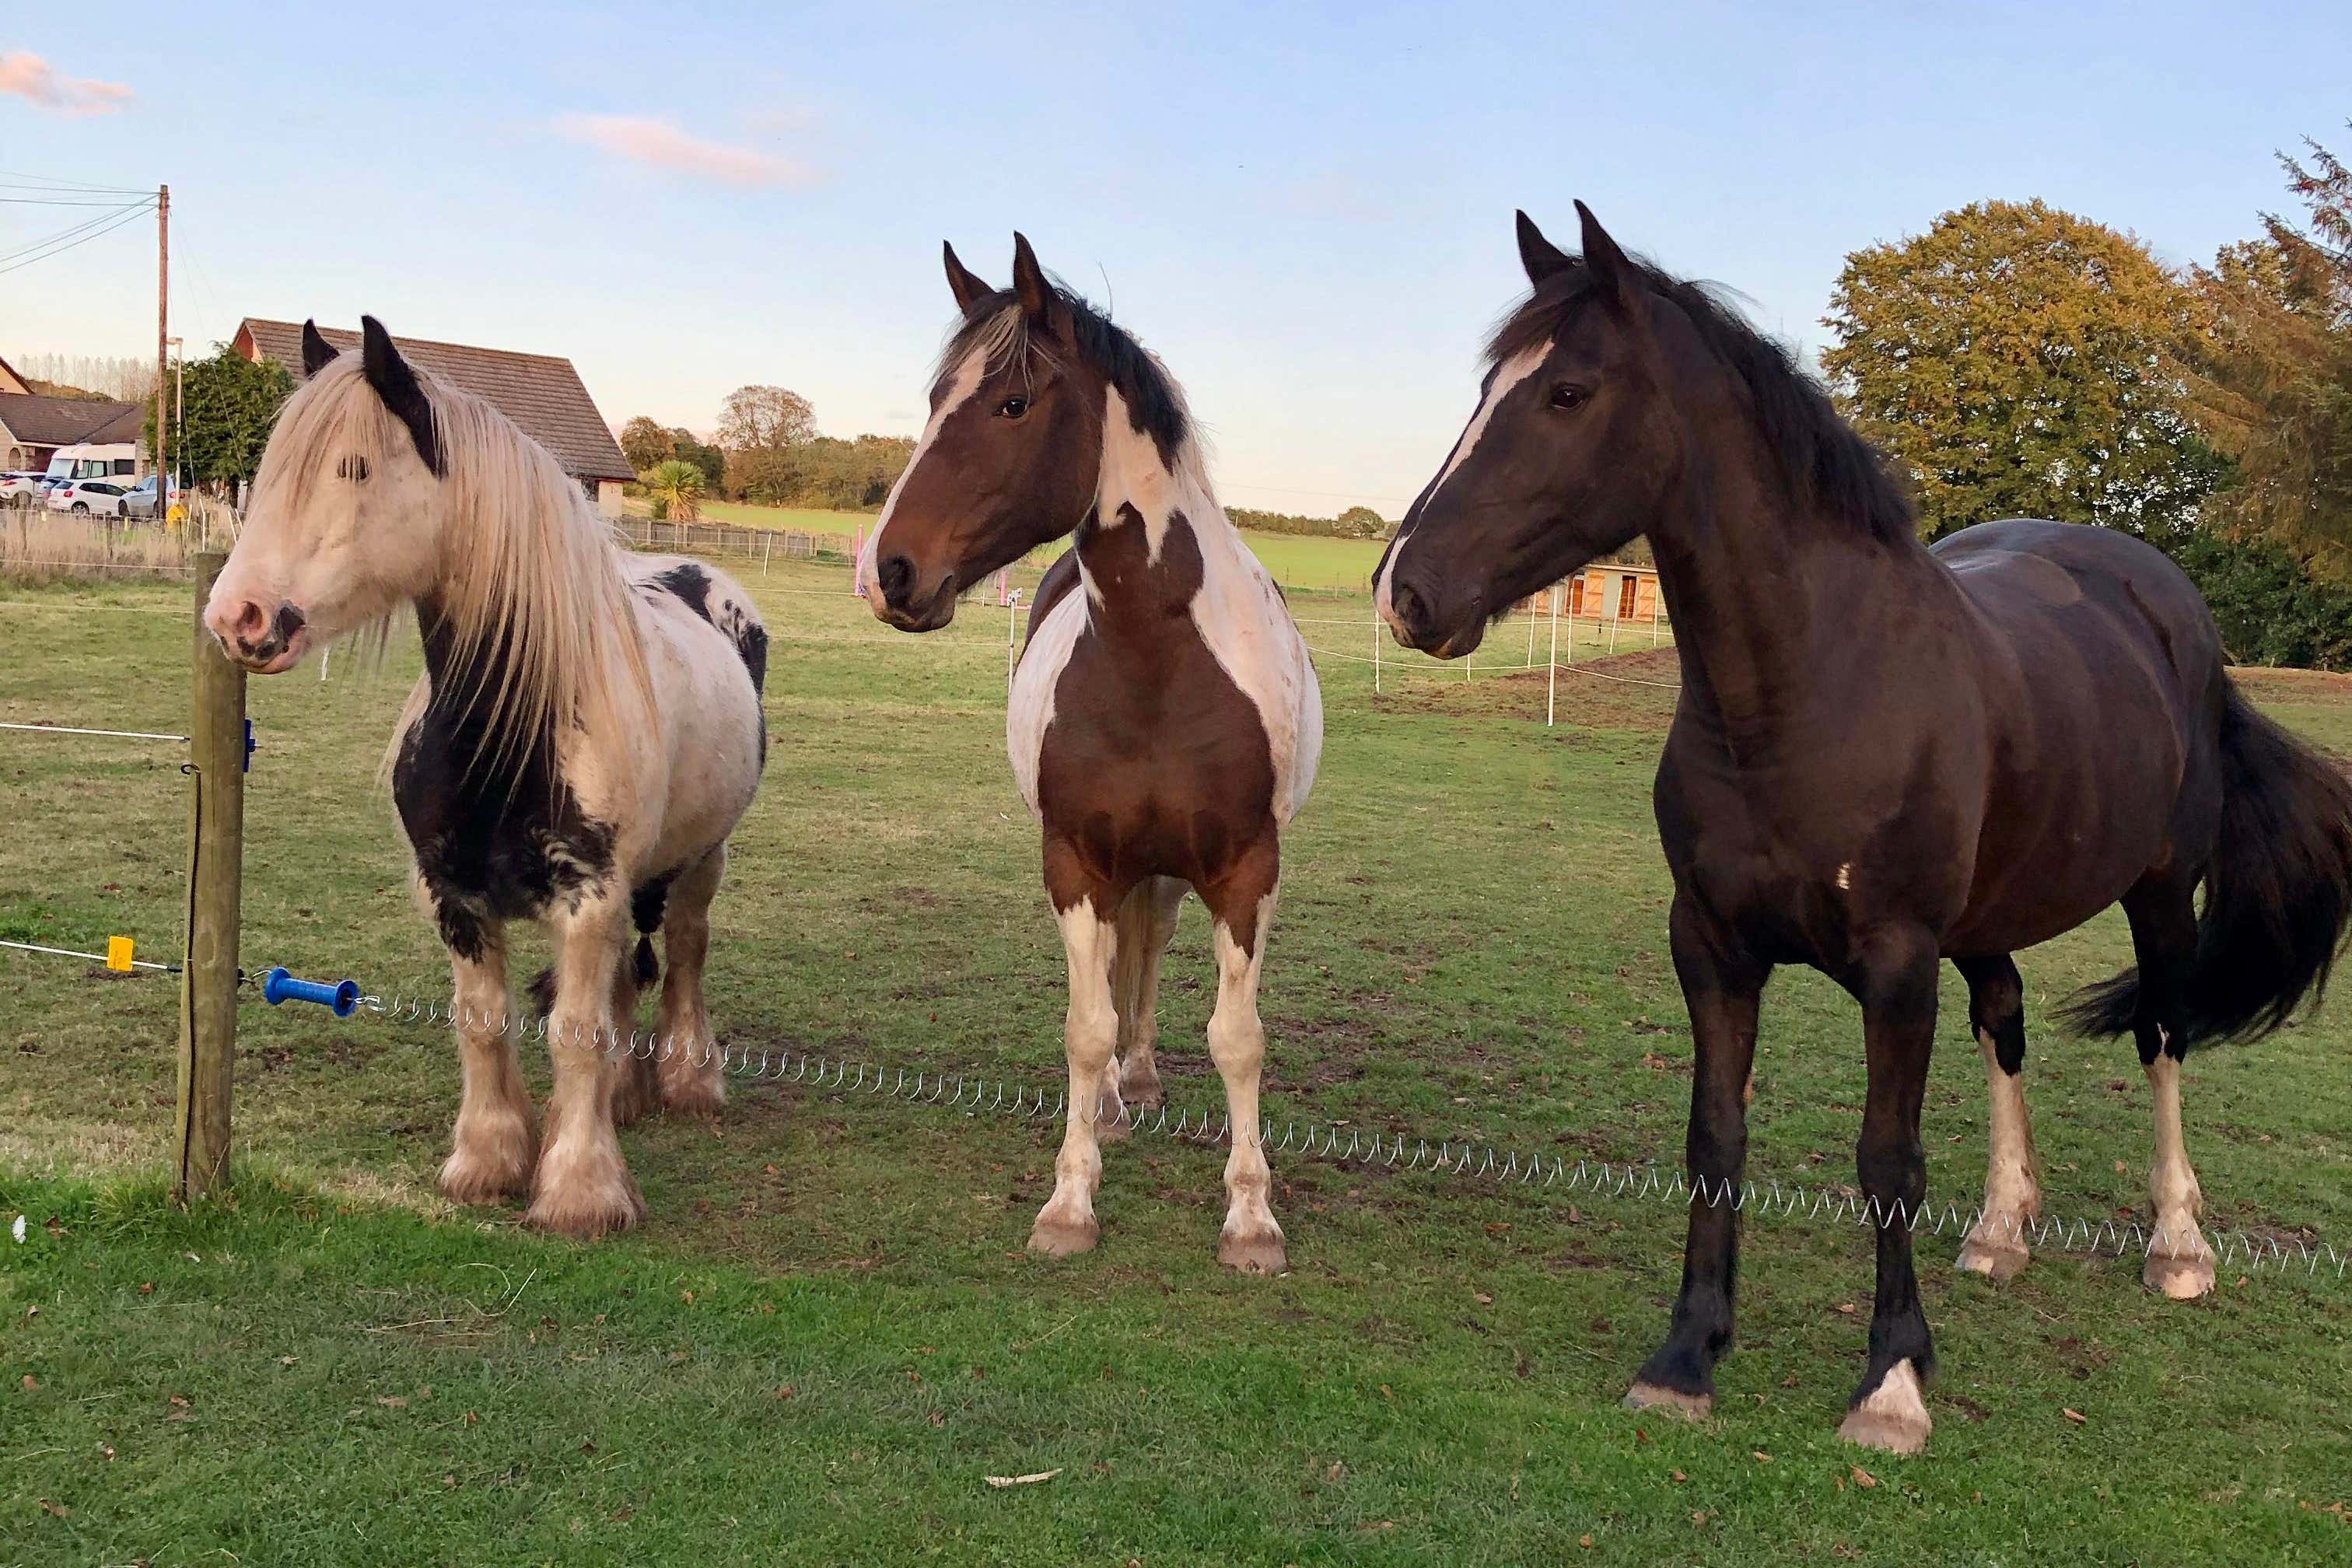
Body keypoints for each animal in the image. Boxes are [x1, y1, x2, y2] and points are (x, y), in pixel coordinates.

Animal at [207, 320, 766, 1241]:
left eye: (354, 467)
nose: (235, 618)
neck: (510, 731)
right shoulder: (454, 897)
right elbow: (483, 1022)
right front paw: (490, 1159)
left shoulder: (589, 897)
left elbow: (575, 1032)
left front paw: (579, 1191)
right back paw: (624, 1096)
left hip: (703, 859)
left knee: (685, 951)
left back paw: (689, 1079)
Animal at [856, 236, 1326, 1279]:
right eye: (934, 397)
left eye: (1012, 403)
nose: (887, 571)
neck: (1157, 661)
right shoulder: (1072, 862)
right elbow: (1083, 1026)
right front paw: (1071, 1201)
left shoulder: (1247, 870)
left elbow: (1239, 1038)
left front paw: (1251, 1219)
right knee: (1120, 963)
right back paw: (1115, 1098)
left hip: (1170, 872)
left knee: (1149, 954)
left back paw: (1141, 1080)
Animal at [1374, 205, 2352, 1457]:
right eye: (1490, 387)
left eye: (1567, 394)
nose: (1404, 591)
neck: (1808, 691)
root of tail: (2167, 606)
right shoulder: (1712, 950)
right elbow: (1715, 1137)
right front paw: (1687, 1357)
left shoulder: (1895, 965)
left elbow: (1887, 1158)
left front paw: (1891, 1382)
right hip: (1987, 923)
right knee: (2006, 1022)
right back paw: (2002, 1230)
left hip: (2159, 892)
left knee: (2164, 1036)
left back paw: (2179, 1248)